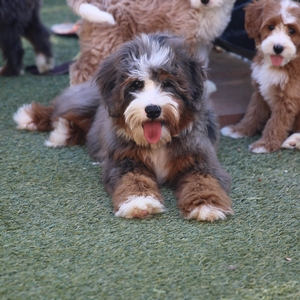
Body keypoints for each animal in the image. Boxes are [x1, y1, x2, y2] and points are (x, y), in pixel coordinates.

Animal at [14, 33, 233, 220]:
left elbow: (204, 181)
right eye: (136, 84)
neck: (159, 142)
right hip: (85, 101)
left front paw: (206, 206)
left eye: (168, 83)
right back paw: (31, 117)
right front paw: (139, 202)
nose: (153, 110)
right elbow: (132, 179)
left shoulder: (201, 158)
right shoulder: (124, 160)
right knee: (59, 108)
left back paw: (63, 132)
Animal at [220, 0, 300, 154]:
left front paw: (264, 145)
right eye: (271, 27)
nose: (278, 47)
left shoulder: (289, 96)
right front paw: (239, 130)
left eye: (292, 31)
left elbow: (277, 121)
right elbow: (253, 111)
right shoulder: (259, 88)